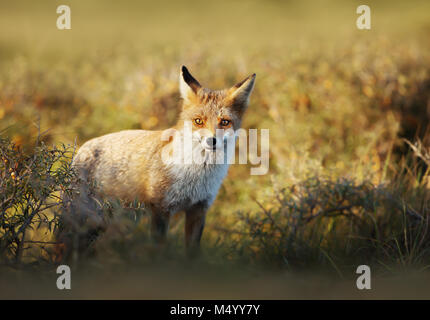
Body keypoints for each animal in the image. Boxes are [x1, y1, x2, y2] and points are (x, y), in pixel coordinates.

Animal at [68, 66, 255, 254]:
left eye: (224, 122)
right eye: (198, 121)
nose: (212, 141)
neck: (196, 175)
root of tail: (82, 147)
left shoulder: (199, 209)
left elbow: (192, 253)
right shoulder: (161, 209)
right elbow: (159, 249)